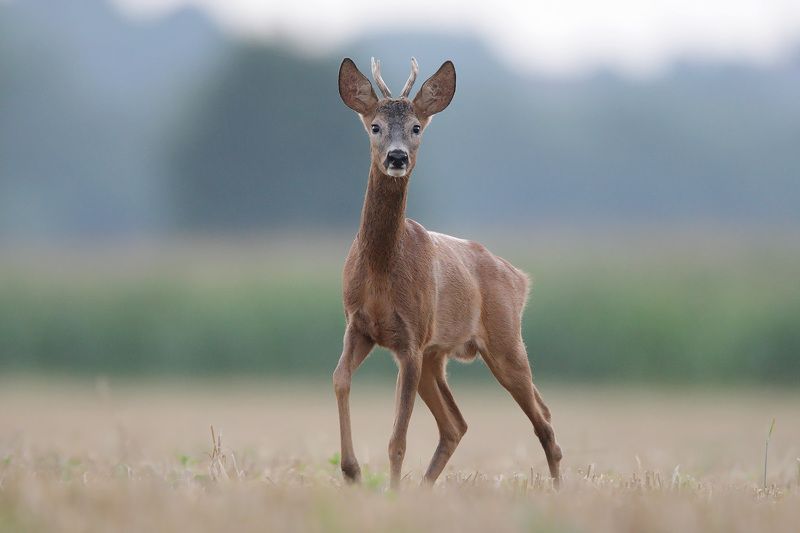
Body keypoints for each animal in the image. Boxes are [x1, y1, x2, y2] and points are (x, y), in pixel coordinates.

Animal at [334, 57, 563, 490]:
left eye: (416, 127)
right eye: (375, 125)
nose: (397, 157)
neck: (381, 270)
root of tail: (519, 278)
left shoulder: (410, 340)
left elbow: (398, 437)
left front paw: (391, 492)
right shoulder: (359, 325)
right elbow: (340, 379)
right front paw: (352, 472)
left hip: (505, 340)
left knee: (542, 416)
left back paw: (559, 488)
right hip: (437, 355)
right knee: (456, 424)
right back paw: (426, 487)